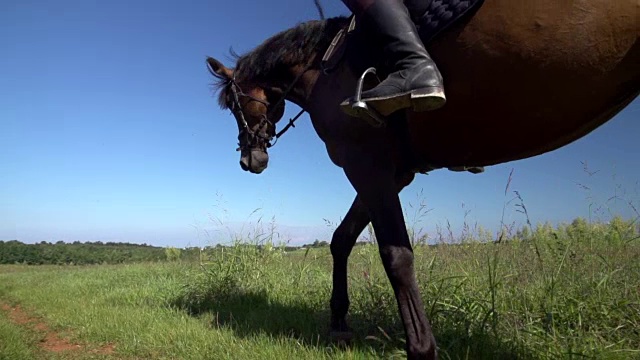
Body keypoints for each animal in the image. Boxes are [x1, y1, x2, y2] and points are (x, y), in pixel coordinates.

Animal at [204, 1, 636, 358]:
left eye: (236, 105)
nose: (249, 159)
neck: (327, 66)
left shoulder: (366, 164)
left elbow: (396, 256)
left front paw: (421, 347)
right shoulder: (394, 172)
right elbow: (342, 239)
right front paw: (339, 322)